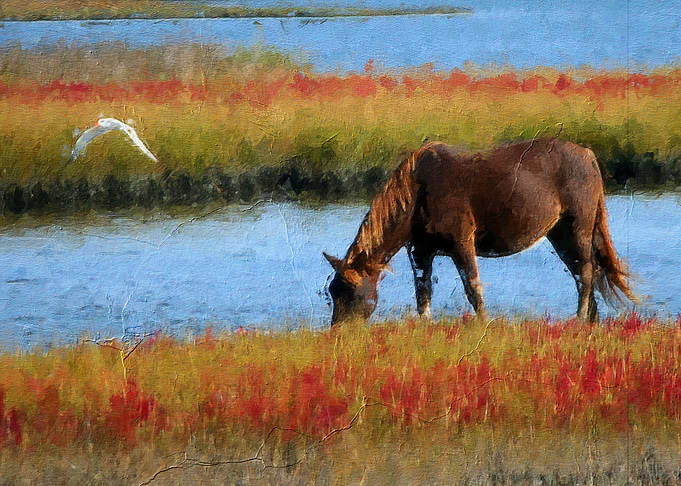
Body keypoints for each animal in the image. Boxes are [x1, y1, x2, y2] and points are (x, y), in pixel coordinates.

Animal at [323, 138, 636, 326]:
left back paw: (580, 318)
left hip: (578, 227)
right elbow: (423, 292)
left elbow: (473, 288)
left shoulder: (462, 242)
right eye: (332, 291)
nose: (339, 331)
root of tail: (589, 155)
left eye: (350, 292)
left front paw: (483, 323)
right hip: (559, 234)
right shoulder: (420, 251)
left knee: (585, 273)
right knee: (585, 272)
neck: (418, 192)